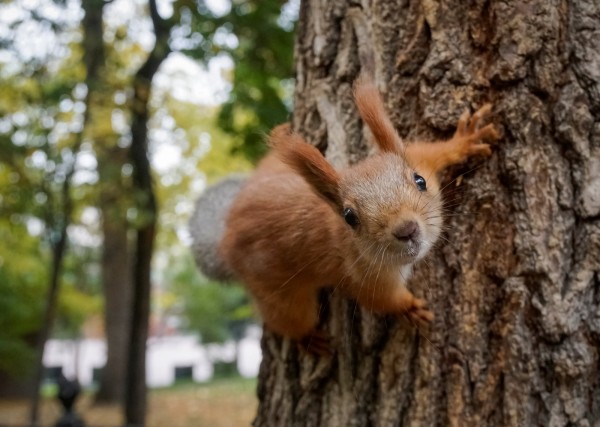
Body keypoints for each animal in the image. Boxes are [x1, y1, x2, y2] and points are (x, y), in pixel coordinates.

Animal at [211, 76, 496, 354]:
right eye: (349, 217)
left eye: (420, 181)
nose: (406, 230)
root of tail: (227, 236)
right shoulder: (359, 274)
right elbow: (381, 299)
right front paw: (409, 308)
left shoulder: (419, 158)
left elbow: (432, 150)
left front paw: (464, 141)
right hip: (275, 290)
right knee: (288, 317)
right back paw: (307, 337)